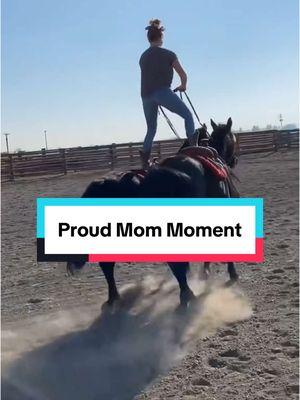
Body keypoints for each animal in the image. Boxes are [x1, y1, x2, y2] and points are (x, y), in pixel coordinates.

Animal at [66, 117, 239, 308]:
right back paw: (186, 295)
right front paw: (230, 273)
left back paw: (114, 298)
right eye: (233, 138)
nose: (234, 160)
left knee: (107, 265)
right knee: (175, 265)